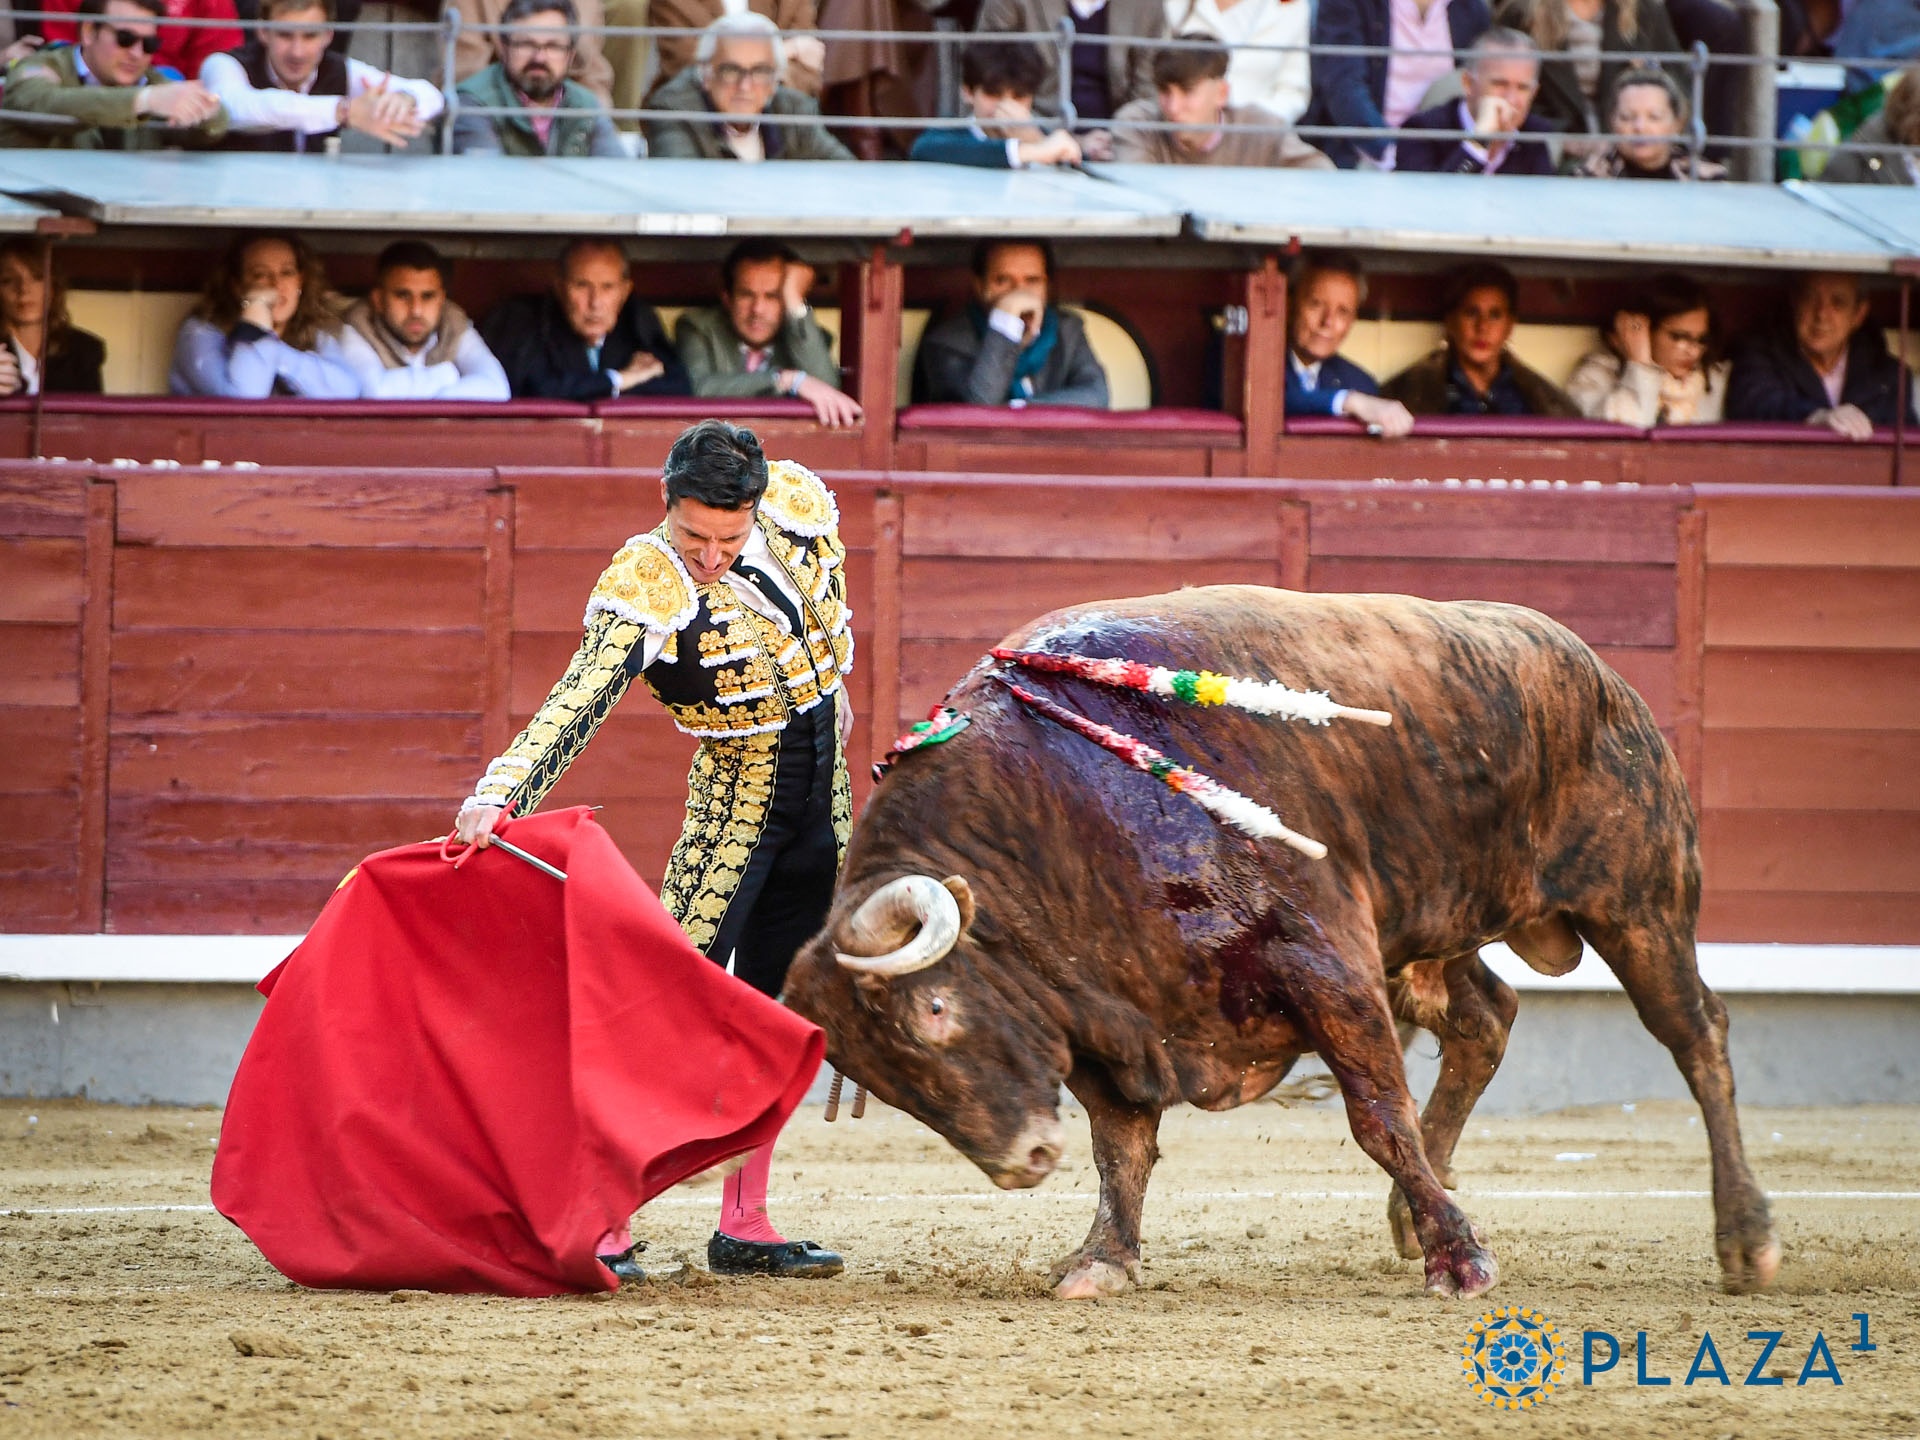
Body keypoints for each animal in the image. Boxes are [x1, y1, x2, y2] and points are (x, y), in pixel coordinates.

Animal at [782, 586, 1781, 1301]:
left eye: (936, 1009)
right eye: (883, 1080)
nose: (1022, 1163)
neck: (1052, 814)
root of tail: (1598, 673)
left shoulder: (1328, 962)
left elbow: (1379, 1117)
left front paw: (1462, 1264)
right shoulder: (1110, 1013)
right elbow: (1120, 1147)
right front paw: (1101, 1260)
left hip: (1639, 903)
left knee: (1696, 1034)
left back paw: (1746, 1241)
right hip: (1427, 930)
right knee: (1486, 1020)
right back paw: (1414, 1215)